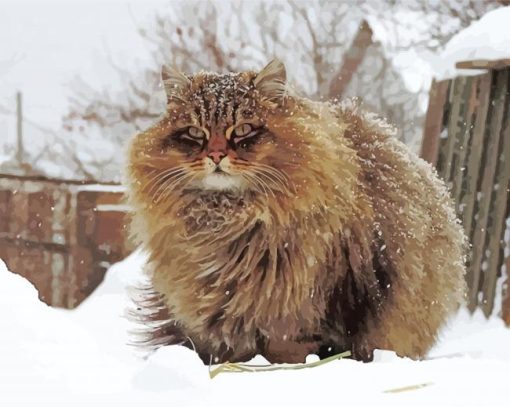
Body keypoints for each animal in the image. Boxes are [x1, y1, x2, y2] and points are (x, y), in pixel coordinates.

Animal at [124, 59, 466, 364]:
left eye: (244, 129)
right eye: (195, 133)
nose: (217, 155)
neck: (226, 221)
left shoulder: (309, 304)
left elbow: (290, 350)